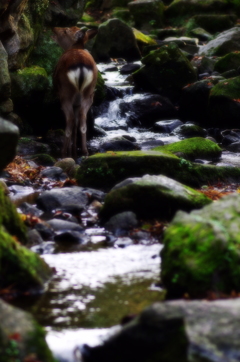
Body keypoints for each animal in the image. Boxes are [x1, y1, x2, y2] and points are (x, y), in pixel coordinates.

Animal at [52, 26, 97, 159]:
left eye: (66, 30)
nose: (54, 28)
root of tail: (81, 67)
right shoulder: (77, 102)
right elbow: (77, 124)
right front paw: (74, 151)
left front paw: (70, 151)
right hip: (89, 94)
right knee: (82, 120)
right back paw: (84, 152)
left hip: (66, 93)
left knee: (70, 119)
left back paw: (63, 153)